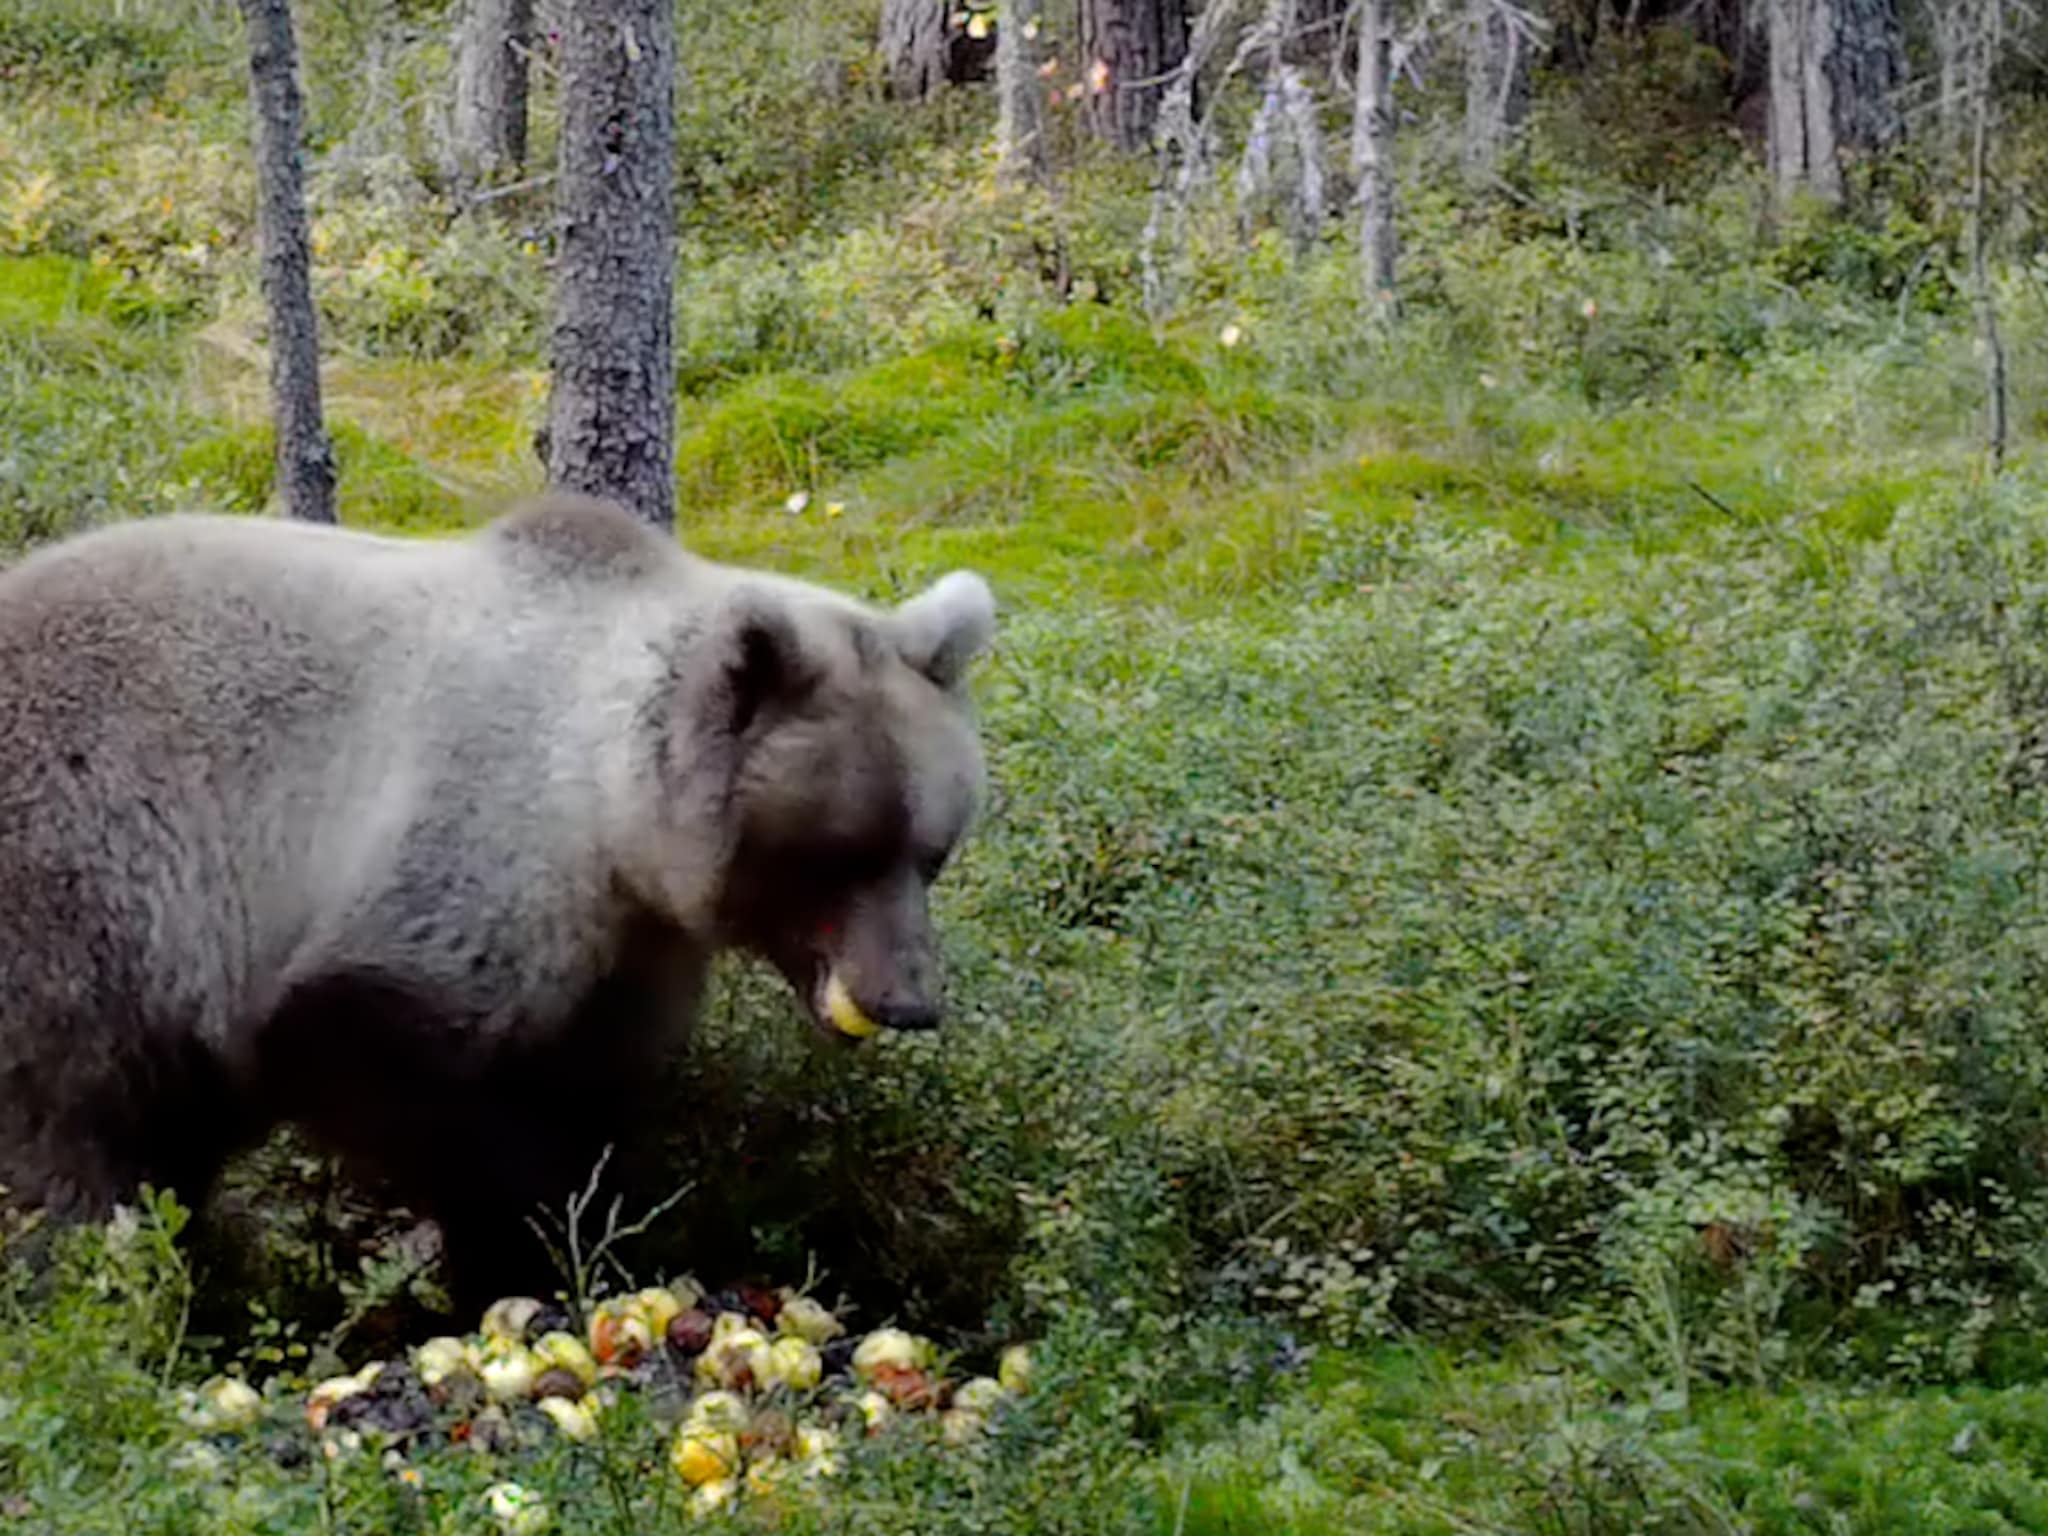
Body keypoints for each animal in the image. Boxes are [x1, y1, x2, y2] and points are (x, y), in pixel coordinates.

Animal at [0, 495, 999, 1310]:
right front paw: (549, 1245)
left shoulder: (629, 951)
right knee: (68, 1148)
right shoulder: (475, 851)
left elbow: (596, 1092)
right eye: (838, 854)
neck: (612, 824)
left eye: (931, 852)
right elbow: (368, 1041)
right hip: (83, 901)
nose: (906, 999)